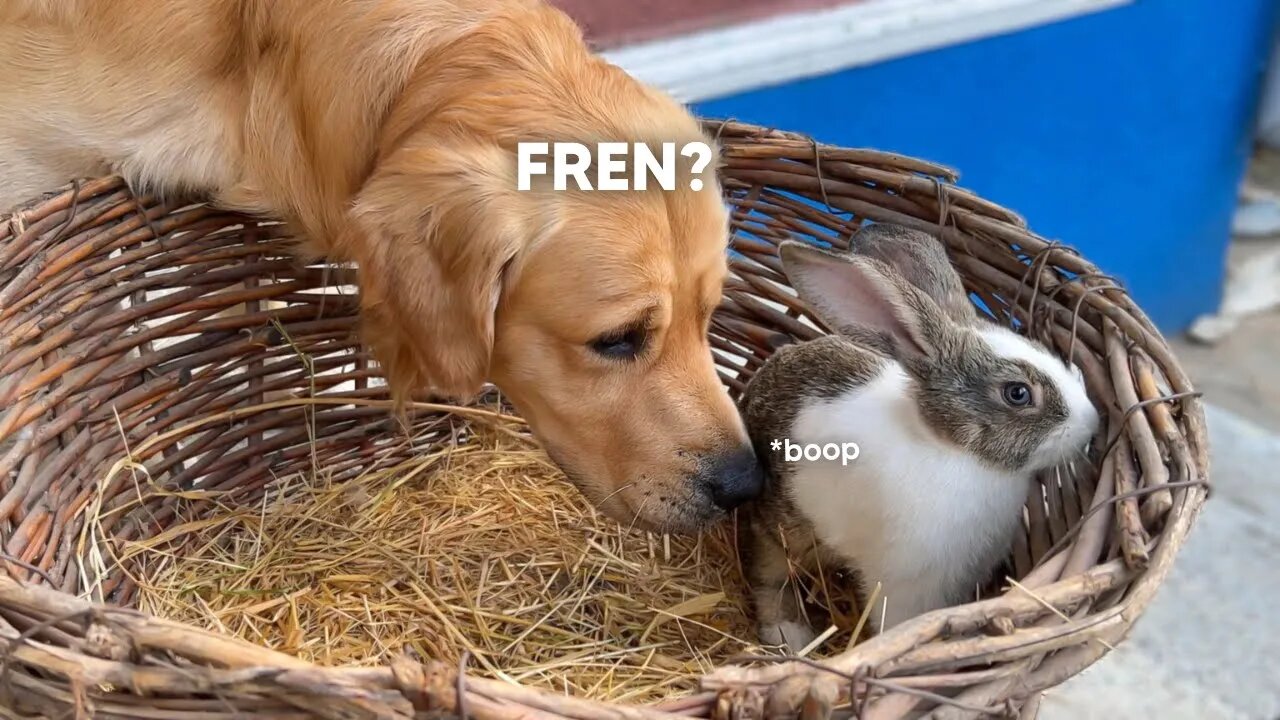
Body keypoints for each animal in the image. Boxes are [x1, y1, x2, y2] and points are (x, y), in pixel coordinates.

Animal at [742, 221, 1100, 648]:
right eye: (1018, 393)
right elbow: (897, 622)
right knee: (771, 573)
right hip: (783, 528)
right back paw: (790, 634)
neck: (954, 450)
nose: (1092, 423)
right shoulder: (906, 586)